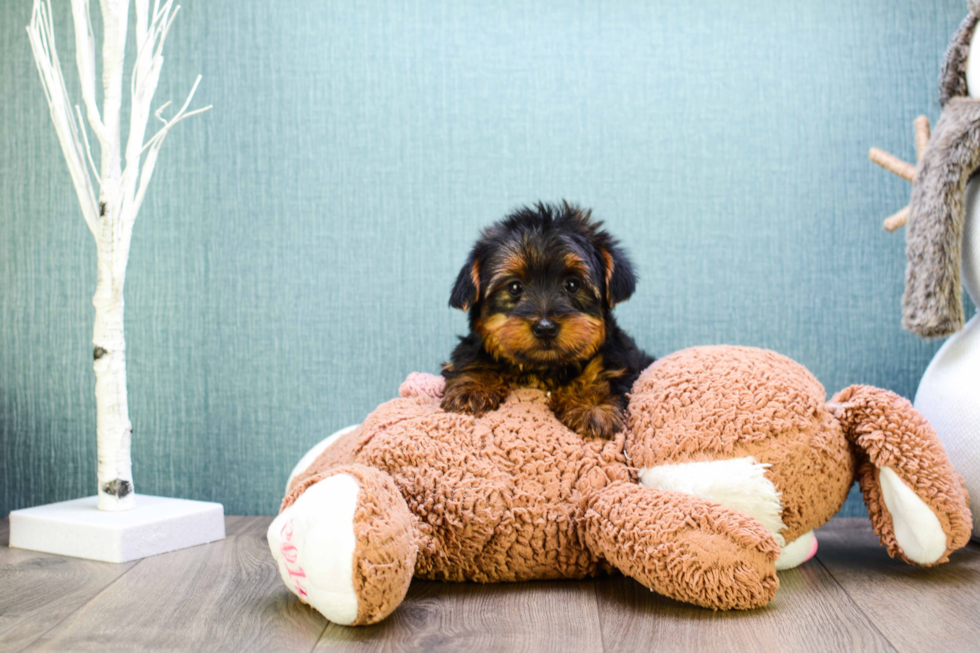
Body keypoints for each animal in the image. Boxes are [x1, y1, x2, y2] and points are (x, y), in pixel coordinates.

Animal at [440, 201, 656, 440]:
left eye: (572, 284)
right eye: (514, 287)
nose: (545, 328)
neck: (543, 368)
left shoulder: (619, 359)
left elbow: (603, 377)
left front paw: (593, 406)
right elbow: (473, 359)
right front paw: (472, 388)